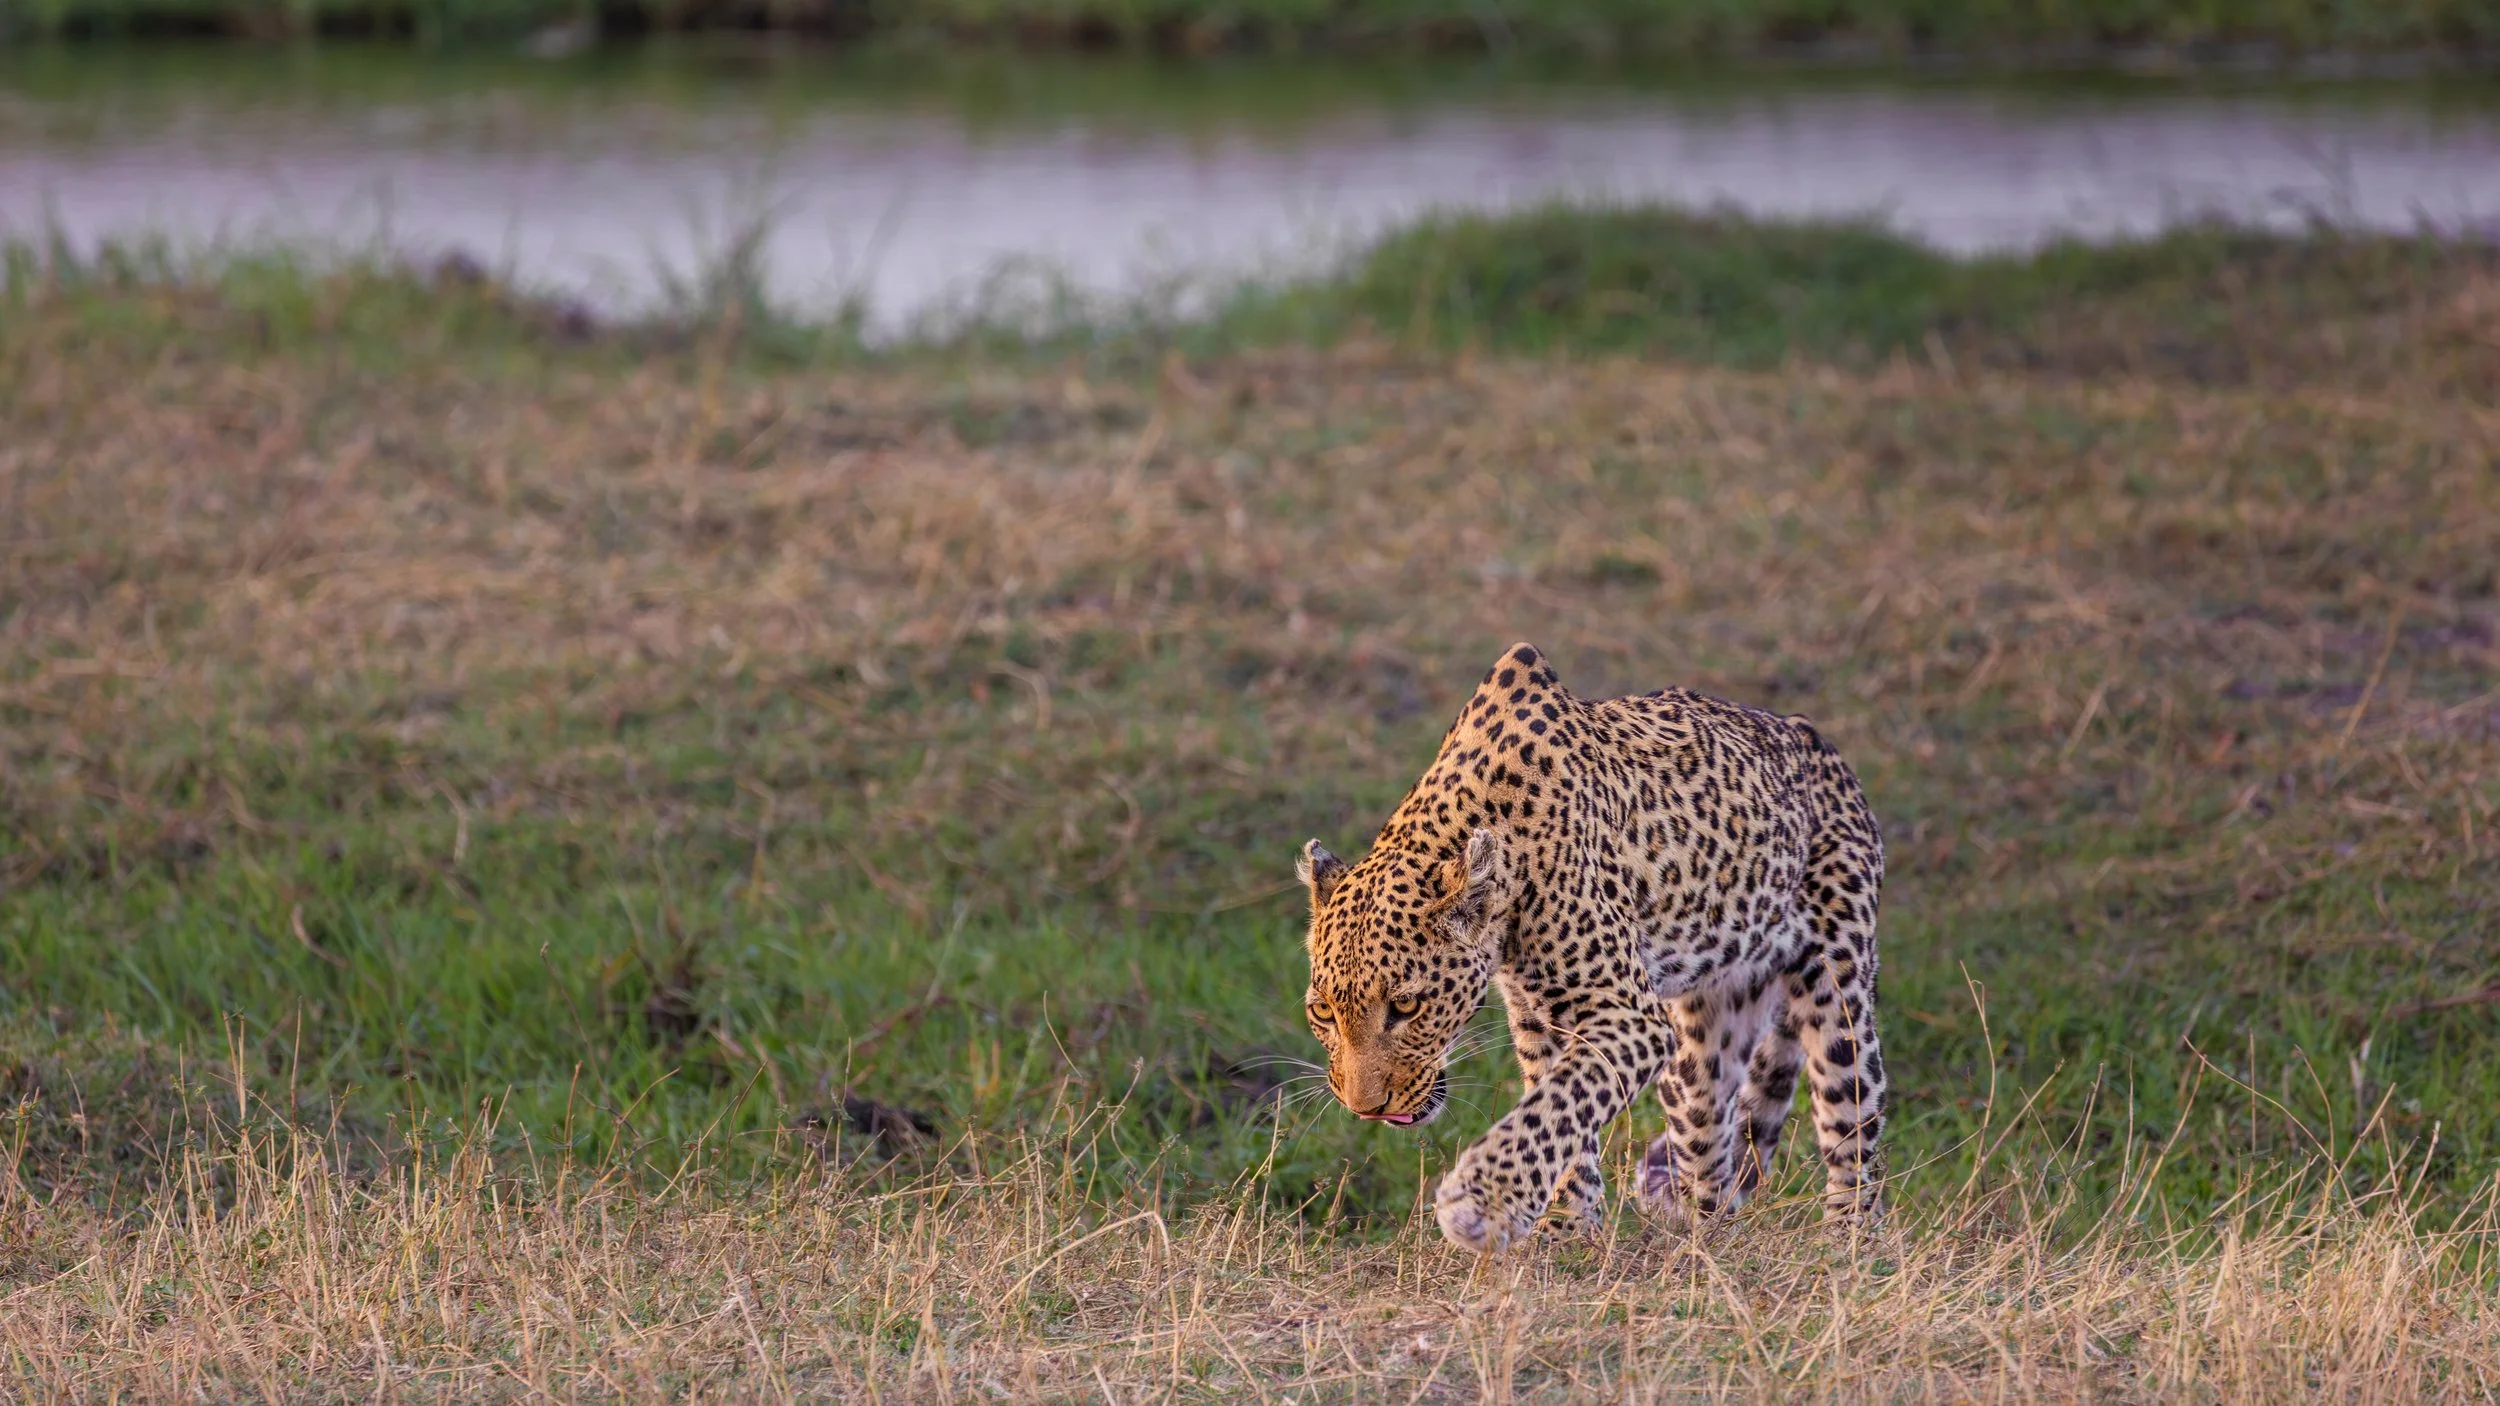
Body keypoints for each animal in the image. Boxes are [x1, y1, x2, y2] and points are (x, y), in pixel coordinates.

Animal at [1296, 642, 1887, 1253]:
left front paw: (1480, 1200)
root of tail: (1814, 740)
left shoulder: (1630, 1016)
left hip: (1838, 987)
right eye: (1323, 1012)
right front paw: (1568, 1226)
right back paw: (1708, 1239)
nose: (1365, 1109)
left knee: (1852, 1118)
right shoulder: (1536, 1017)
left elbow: (1563, 1100)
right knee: (1711, 1139)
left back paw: (1850, 1238)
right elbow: (1558, 1104)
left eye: (1407, 1006)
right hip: (1700, 1047)